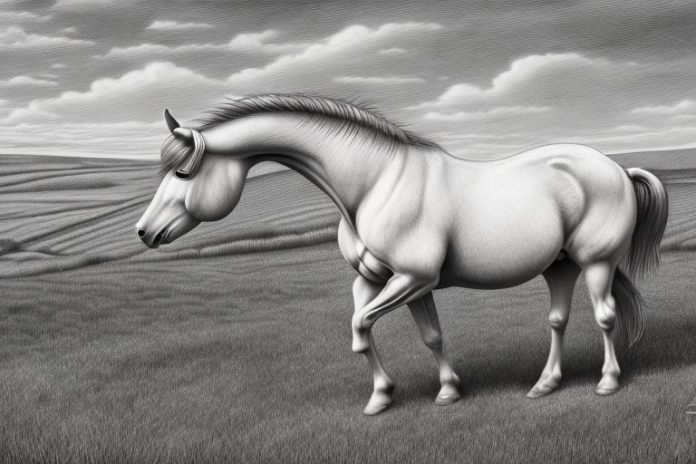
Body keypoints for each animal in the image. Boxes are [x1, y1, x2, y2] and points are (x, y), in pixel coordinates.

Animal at [136, 94, 668, 415]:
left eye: (183, 173)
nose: (144, 232)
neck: (375, 184)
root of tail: (617, 169)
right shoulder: (386, 282)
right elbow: (413, 335)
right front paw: (424, 393)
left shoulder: (413, 278)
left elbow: (361, 326)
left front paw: (389, 397)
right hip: (559, 266)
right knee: (558, 320)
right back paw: (545, 384)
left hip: (596, 264)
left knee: (604, 316)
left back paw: (607, 382)